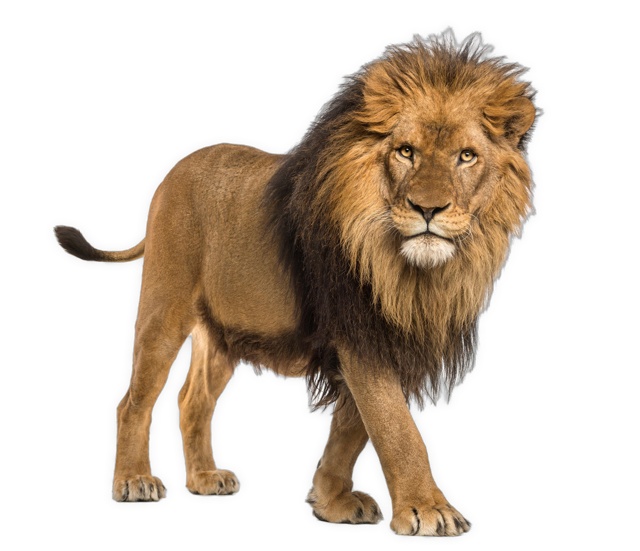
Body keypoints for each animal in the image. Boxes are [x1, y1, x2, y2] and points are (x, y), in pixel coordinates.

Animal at [54, 30, 538, 536]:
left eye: (467, 157)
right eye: (406, 151)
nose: (429, 209)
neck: (412, 272)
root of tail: (176, 170)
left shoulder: (385, 336)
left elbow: (352, 428)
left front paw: (332, 500)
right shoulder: (359, 331)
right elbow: (396, 429)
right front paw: (428, 510)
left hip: (224, 334)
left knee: (193, 400)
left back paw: (205, 478)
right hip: (163, 310)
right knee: (133, 401)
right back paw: (133, 481)